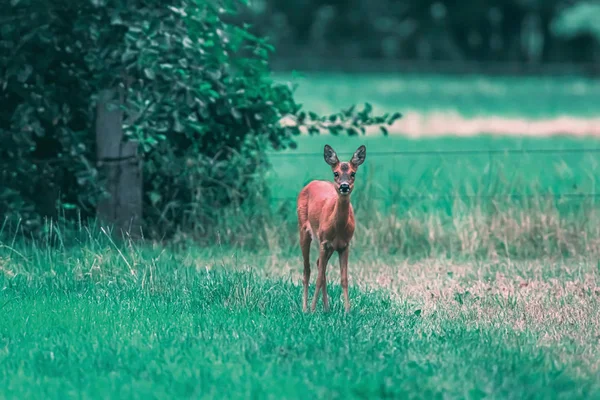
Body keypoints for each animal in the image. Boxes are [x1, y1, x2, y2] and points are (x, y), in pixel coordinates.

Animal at [296, 144, 366, 312]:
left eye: (353, 173)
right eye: (336, 173)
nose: (344, 186)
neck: (338, 228)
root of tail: (311, 183)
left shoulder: (344, 245)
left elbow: (344, 278)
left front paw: (347, 311)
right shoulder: (323, 242)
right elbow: (318, 278)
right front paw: (313, 310)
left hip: (330, 247)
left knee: (318, 265)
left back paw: (326, 308)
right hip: (304, 230)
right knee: (307, 269)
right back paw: (305, 308)